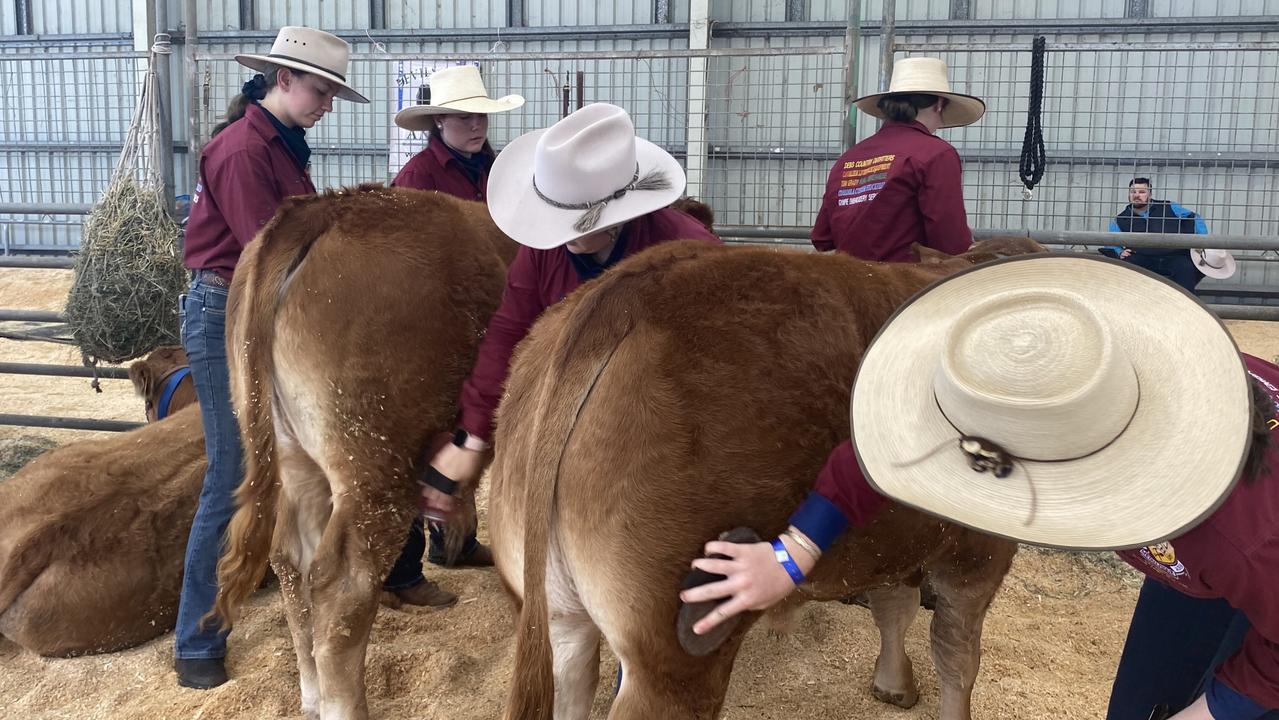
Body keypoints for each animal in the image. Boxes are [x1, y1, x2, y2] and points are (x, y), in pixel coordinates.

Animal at [212, 185, 511, 720]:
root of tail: (324, 207)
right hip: (376, 467)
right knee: (343, 585)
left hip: (293, 456)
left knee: (292, 562)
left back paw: (311, 698)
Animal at [483, 237, 1043, 720]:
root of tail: (622, 295)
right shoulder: (978, 550)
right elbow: (957, 654)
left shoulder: (896, 539)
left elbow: (893, 605)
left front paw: (892, 682)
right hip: (674, 652)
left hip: (556, 614)